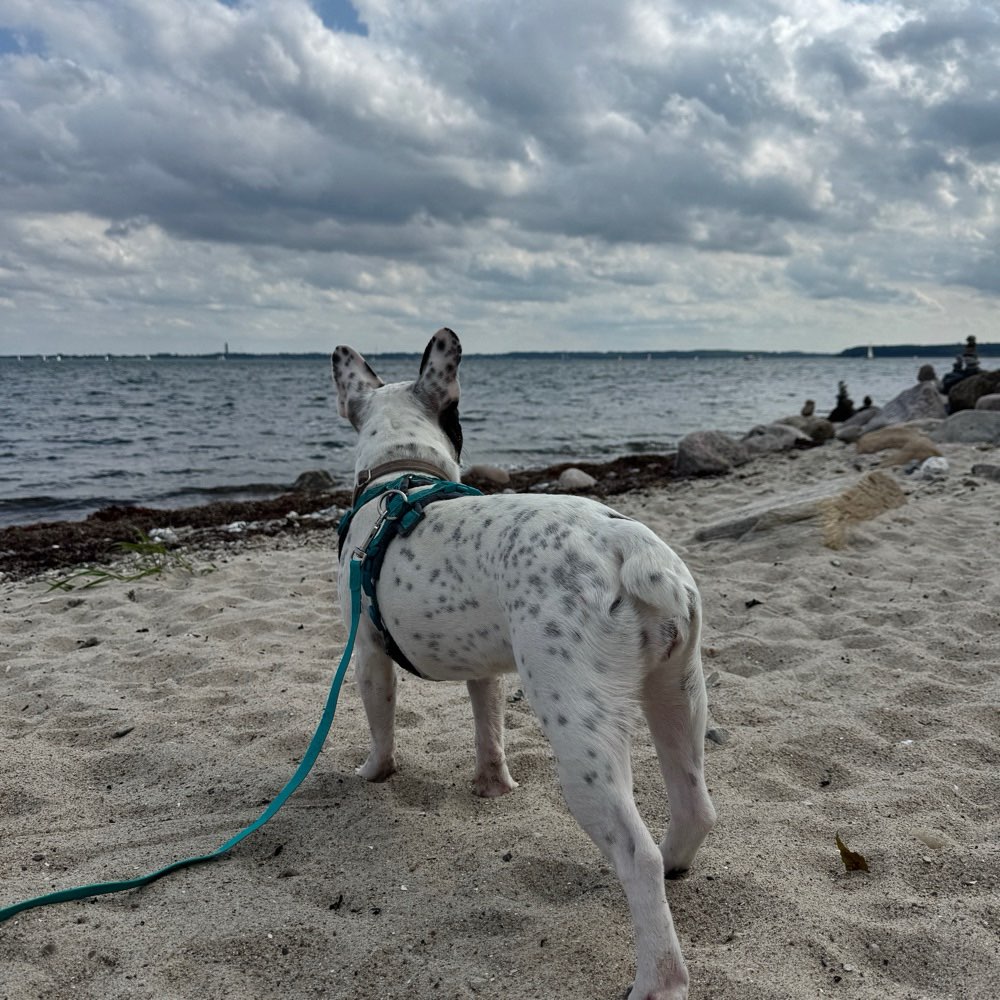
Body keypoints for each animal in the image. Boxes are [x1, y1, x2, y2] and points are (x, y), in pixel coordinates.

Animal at [336, 330, 720, 1000]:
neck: (402, 475)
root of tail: (627, 546)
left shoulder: (368, 657)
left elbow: (381, 728)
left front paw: (373, 774)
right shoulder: (483, 667)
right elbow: (488, 725)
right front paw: (492, 785)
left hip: (581, 738)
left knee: (636, 854)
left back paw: (658, 979)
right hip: (678, 692)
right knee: (693, 802)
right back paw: (679, 862)